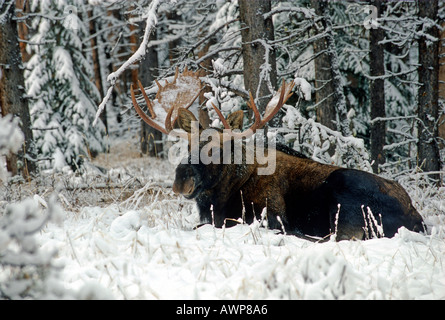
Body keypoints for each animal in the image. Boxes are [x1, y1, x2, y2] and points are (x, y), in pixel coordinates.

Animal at [129, 69, 424, 241]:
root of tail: (416, 216)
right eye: (187, 145)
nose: (182, 179)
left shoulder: (271, 217)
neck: (223, 195)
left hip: (346, 209)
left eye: (221, 148)